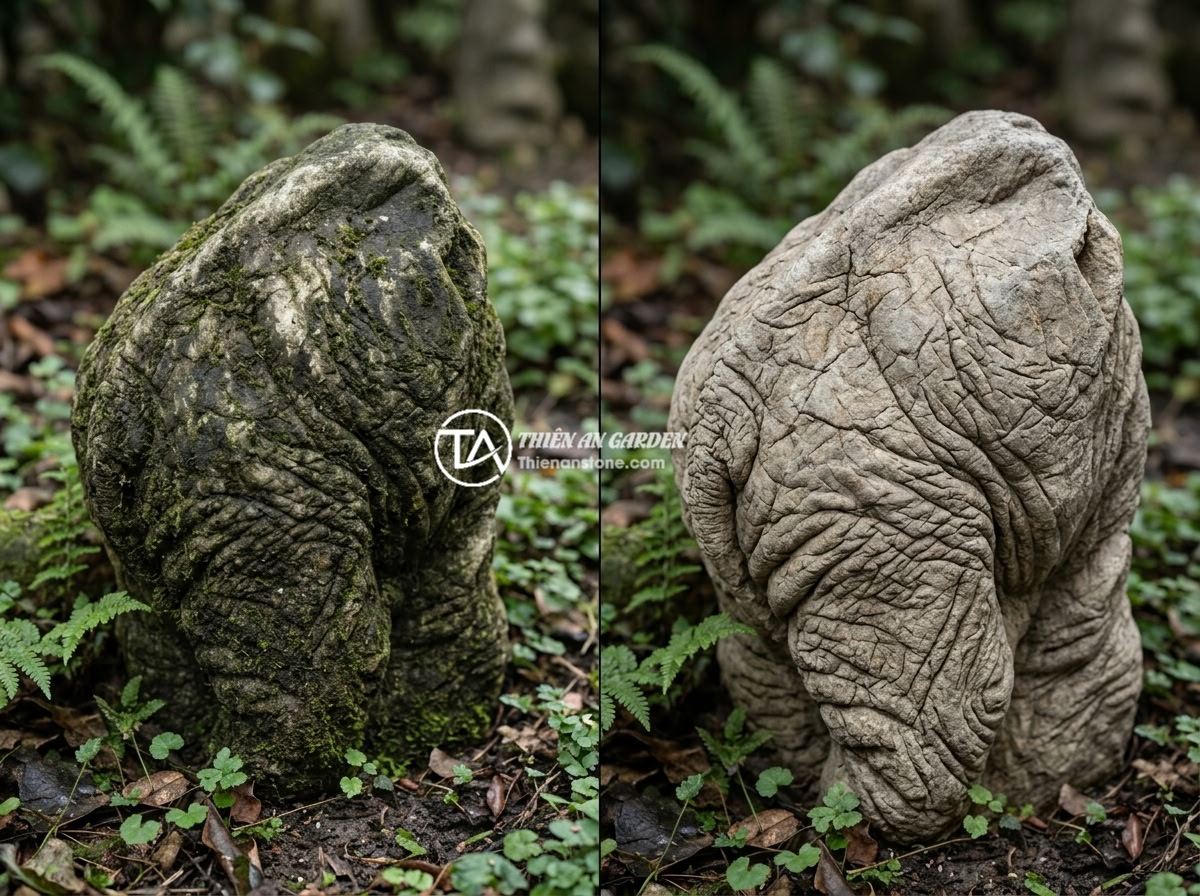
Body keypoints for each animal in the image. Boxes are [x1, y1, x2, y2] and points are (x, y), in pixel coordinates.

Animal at [71, 124, 513, 792]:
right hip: (270, 517)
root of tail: (125, 414)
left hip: (145, 541)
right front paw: (438, 726)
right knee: (315, 665)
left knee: (155, 640)